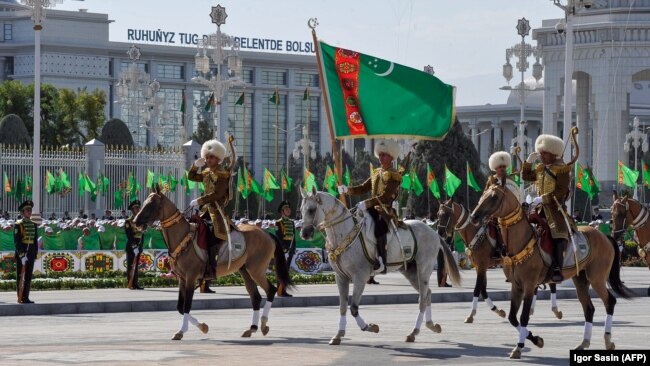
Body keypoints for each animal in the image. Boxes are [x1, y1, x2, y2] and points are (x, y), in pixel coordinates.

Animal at [134, 189, 294, 340]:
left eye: (152, 203)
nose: (136, 221)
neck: (182, 237)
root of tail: (267, 234)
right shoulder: (182, 278)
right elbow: (180, 307)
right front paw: (202, 327)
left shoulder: (191, 277)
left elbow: (186, 306)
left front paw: (183, 331)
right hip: (245, 270)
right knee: (255, 297)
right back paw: (252, 328)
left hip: (256, 270)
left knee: (270, 290)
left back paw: (263, 324)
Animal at [298, 187, 460, 344]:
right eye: (301, 210)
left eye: (311, 209)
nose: (304, 234)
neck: (344, 234)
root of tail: (433, 232)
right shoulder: (341, 277)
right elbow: (343, 307)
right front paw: (338, 335)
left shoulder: (360, 277)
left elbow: (354, 308)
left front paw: (370, 327)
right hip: (410, 272)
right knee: (426, 294)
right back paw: (429, 326)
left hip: (424, 269)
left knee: (422, 299)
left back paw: (414, 332)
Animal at [468, 184, 632, 358]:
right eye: (483, 194)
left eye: (493, 197)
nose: (473, 217)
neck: (522, 240)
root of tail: (605, 236)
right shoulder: (516, 285)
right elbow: (513, 317)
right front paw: (536, 340)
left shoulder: (529, 285)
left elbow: (524, 316)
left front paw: (519, 347)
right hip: (580, 279)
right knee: (589, 308)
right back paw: (583, 343)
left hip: (597, 278)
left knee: (610, 302)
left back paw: (608, 341)